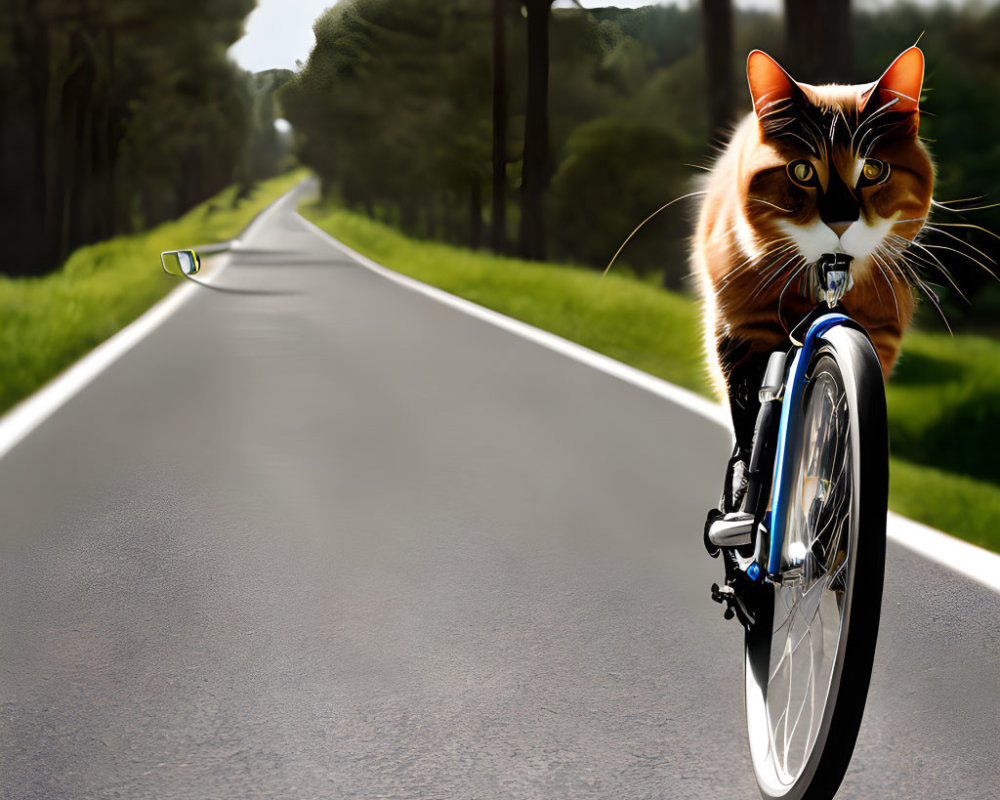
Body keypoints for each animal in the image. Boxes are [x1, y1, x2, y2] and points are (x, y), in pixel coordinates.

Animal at [692, 47, 932, 468]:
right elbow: (753, 436)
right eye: (802, 170)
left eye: (874, 169)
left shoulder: (878, 341)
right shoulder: (741, 334)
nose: (840, 219)